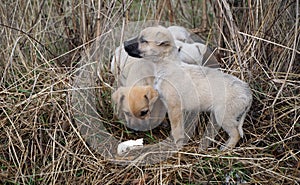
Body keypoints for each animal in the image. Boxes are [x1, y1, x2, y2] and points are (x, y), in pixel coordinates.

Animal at [122, 25, 253, 149]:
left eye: (143, 41)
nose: (124, 45)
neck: (167, 66)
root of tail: (248, 93)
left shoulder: (174, 107)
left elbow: (176, 129)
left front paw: (177, 145)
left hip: (223, 115)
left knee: (236, 133)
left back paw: (226, 148)